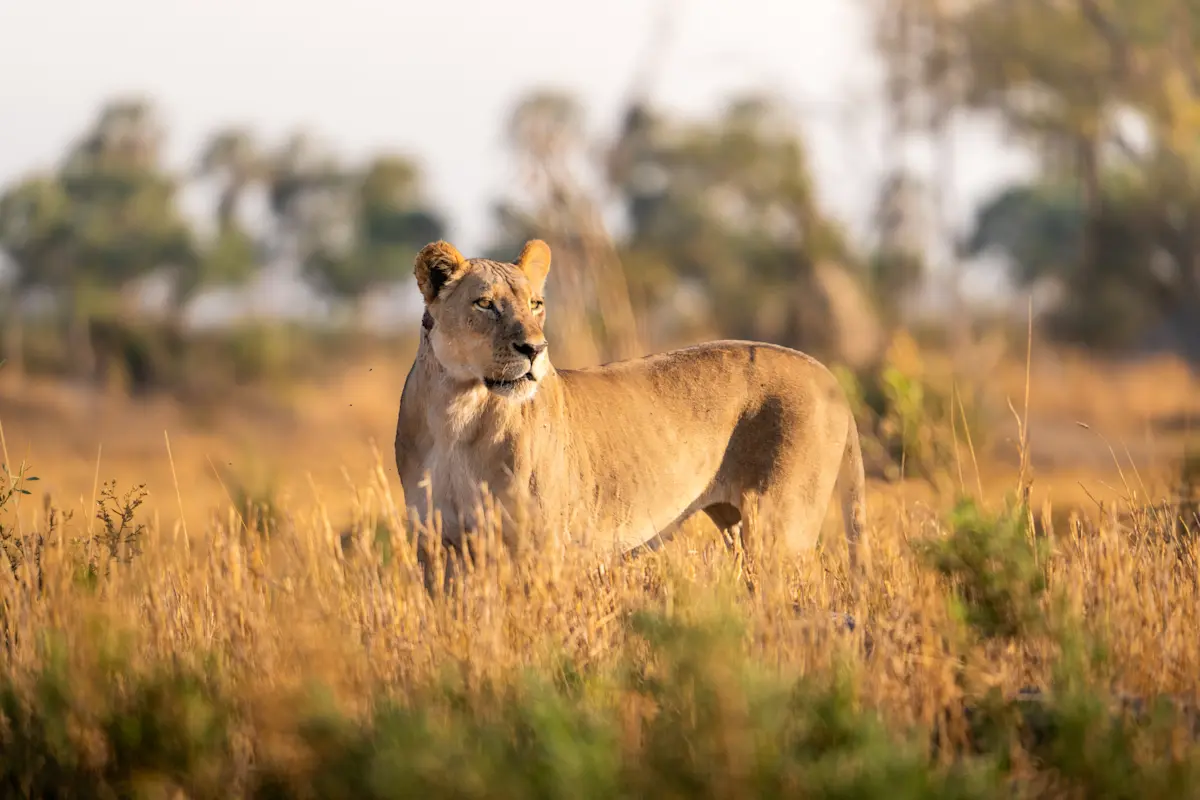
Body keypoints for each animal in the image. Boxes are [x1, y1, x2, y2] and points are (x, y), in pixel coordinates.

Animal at [394, 238, 868, 587]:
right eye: (484, 304)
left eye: (536, 304)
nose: (535, 349)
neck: (458, 412)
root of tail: (827, 374)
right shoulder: (435, 545)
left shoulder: (541, 542)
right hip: (736, 524)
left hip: (781, 525)